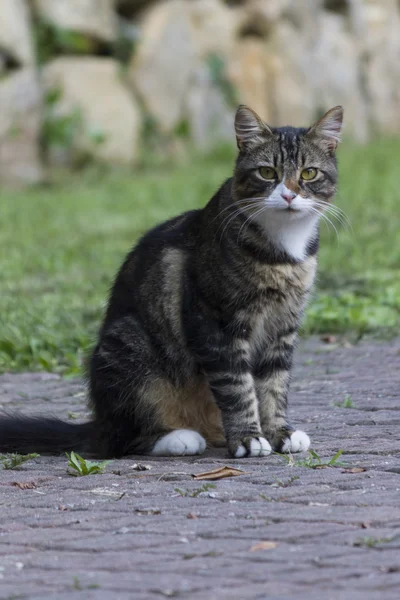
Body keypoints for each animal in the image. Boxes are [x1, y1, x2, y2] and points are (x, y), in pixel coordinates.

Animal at [0, 104, 344, 460]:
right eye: (266, 173)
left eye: (308, 174)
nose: (288, 195)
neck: (283, 253)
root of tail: (98, 424)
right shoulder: (215, 323)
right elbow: (238, 387)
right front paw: (248, 437)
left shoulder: (283, 327)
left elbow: (273, 386)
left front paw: (278, 432)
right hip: (131, 350)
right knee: (122, 440)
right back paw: (179, 438)